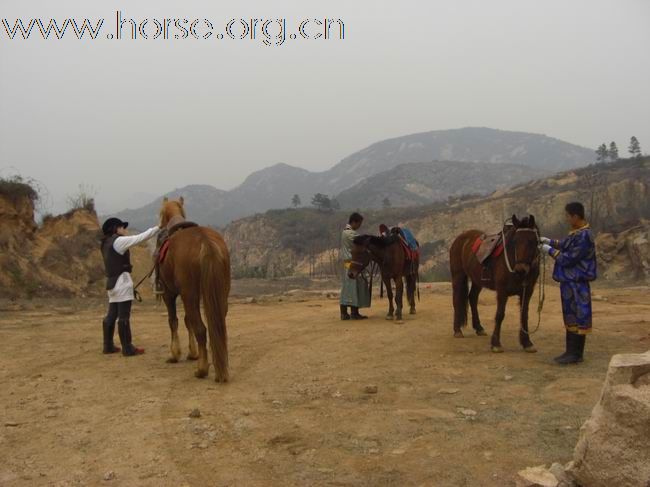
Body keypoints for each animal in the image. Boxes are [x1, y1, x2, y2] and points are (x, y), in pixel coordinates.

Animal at [157, 196, 230, 384]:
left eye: (160, 214)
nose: (159, 227)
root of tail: (205, 242)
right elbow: (187, 320)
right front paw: (192, 353)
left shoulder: (169, 293)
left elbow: (174, 321)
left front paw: (175, 354)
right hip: (221, 291)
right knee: (217, 323)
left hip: (188, 294)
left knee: (201, 329)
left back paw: (202, 369)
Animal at [448, 215, 540, 352]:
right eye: (515, 241)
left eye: (532, 241)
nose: (520, 269)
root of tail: (460, 238)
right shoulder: (502, 291)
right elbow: (500, 315)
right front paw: (496, 343)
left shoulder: (527, 291)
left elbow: (524, 315)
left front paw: (527, 342)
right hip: (458, 276)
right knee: (457, 300)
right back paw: (457, 330)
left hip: (477, 280)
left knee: (472, 298)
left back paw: (479, 328)